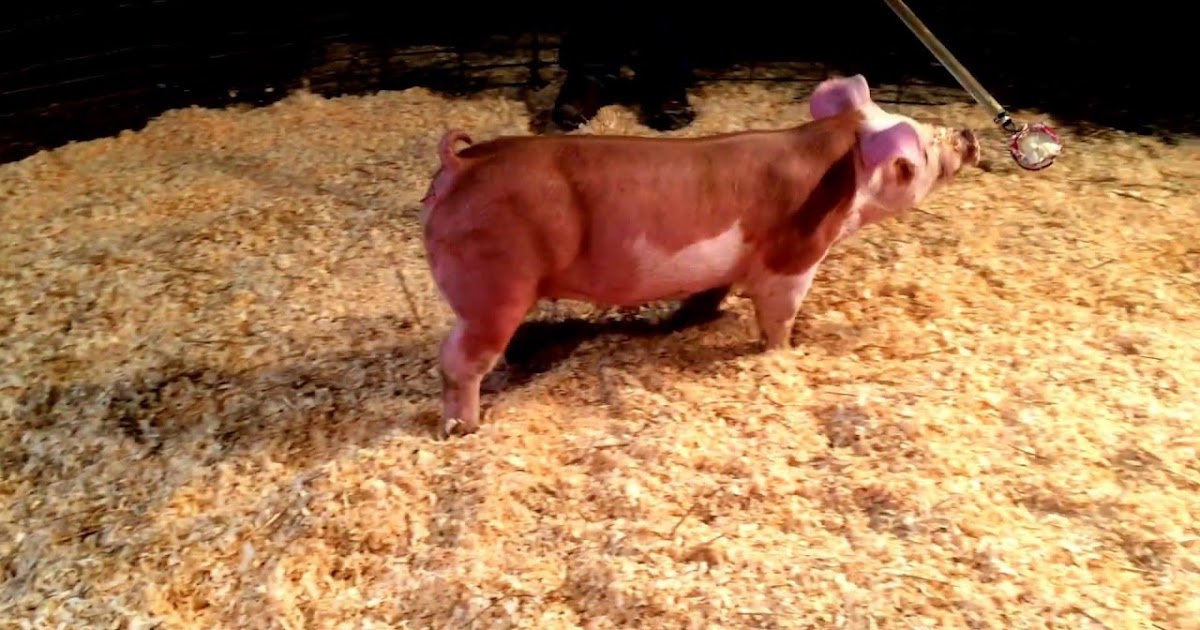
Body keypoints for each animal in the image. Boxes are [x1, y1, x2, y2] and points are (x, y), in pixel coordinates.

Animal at [419, 74, 979, 438]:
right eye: (921, 149)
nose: (968, 135)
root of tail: (460, 164)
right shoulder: (794, 258)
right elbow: (779, 315)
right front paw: (782, 353)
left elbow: (713, 293)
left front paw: (698, 317)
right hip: (492, 288)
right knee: (458, 361)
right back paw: (462, 428)